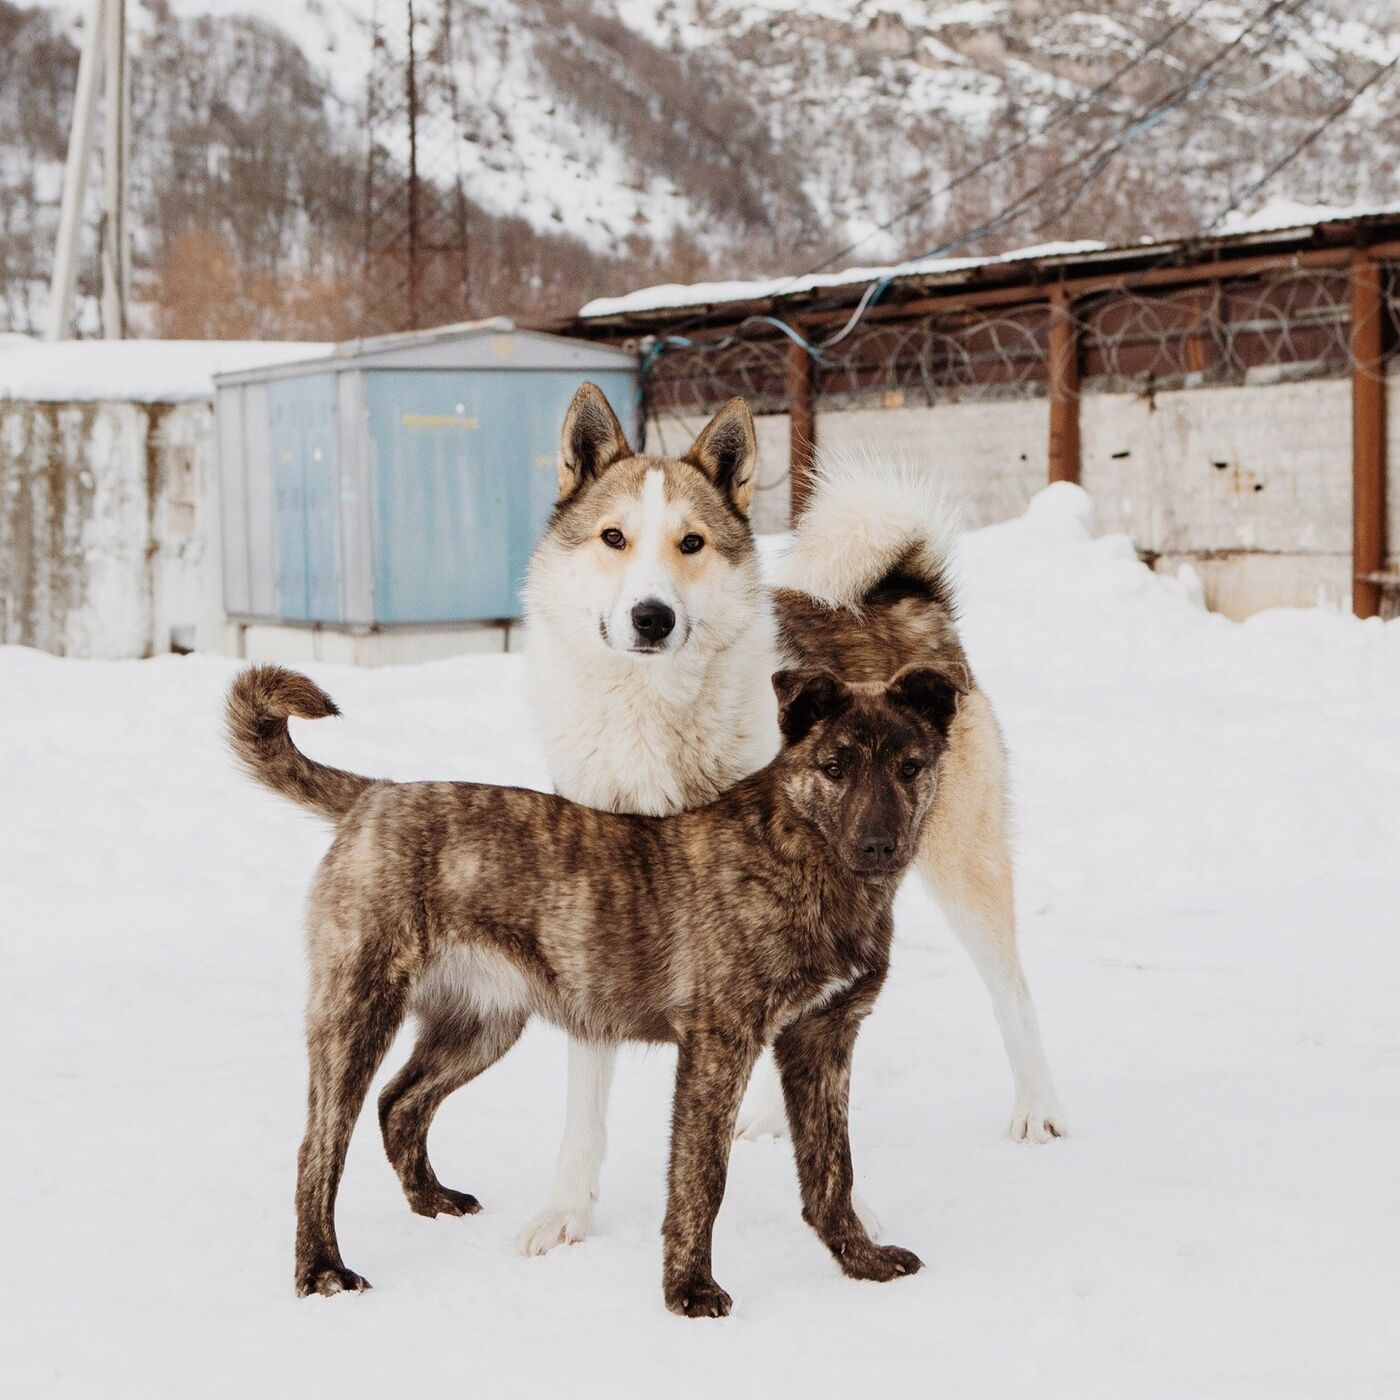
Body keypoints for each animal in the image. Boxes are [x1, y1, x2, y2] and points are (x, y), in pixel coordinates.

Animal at [229, 655, 968, 1310]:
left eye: (910, 767)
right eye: (834, 768)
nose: (879, 846)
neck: (805, 857)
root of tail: (375, 796)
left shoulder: (824, 1039)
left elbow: (832, 1172)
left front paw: (860, 1262)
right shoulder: (720, 1045)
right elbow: (703, 1179)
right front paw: (688, 1292)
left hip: (483, 1025)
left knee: (400, 1103)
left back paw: (431, 1202)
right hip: (358, 1010)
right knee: (320, 1147)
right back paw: (321, 1271)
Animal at [520, 386, 1064, 1260]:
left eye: (692, 543)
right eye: (613, 538)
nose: (651, 616)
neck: (654, 717)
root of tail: (905, 593)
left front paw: (852, 1211)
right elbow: (587, 1092)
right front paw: (568, 1209)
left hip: (961, 860)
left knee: (1012, 988)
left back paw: (1038, 1109)